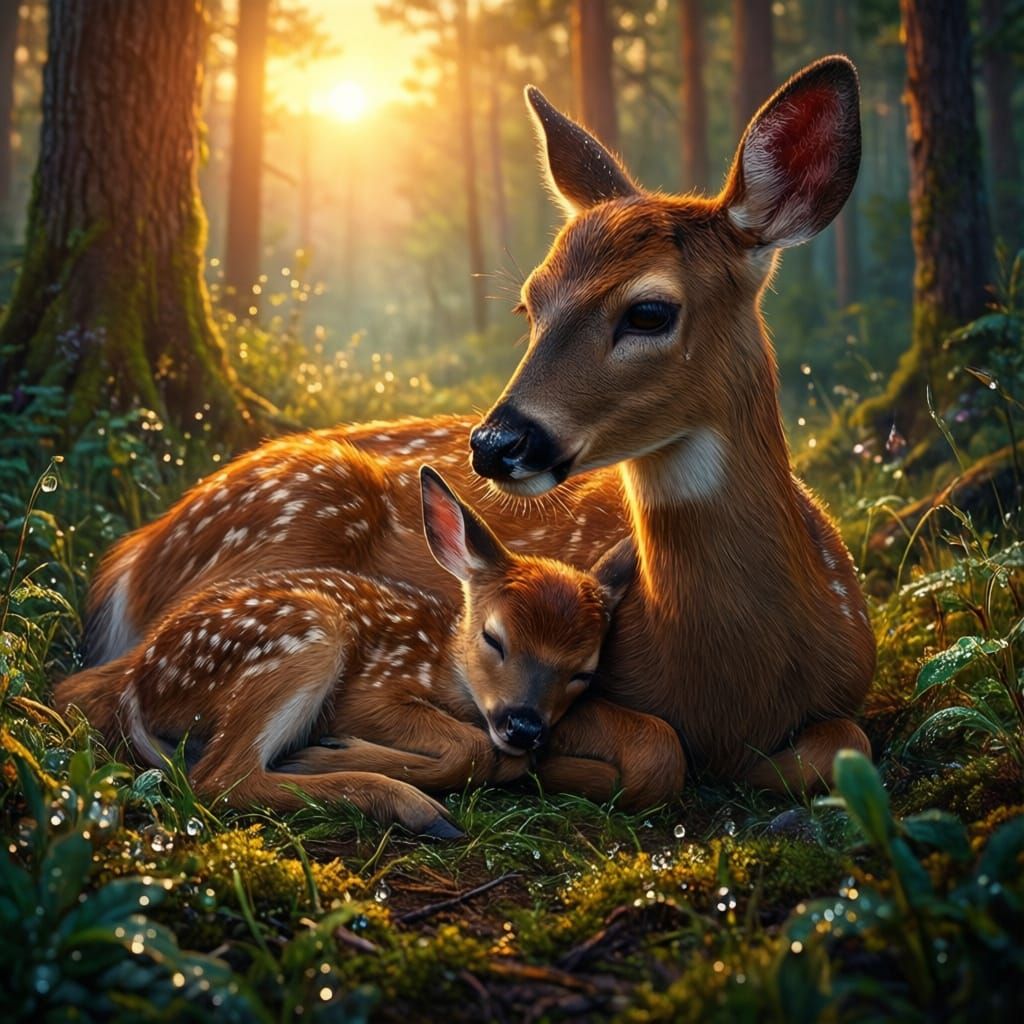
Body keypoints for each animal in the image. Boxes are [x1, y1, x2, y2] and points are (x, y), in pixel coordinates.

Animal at [56, 468, 661, 833]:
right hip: (307, 636)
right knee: (220, 779)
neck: (443, 665)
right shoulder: (372, 689)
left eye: (584, 672)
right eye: (495, 639)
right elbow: (473, 747)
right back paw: (407, 804)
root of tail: (143, 680)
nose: (525, 725)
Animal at [78, 56, 874, 800]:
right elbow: (658, 750)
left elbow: (843, 744)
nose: (495, 444)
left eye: (650, 311)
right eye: (530, 302)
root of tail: (136, 554)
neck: (732, 681)